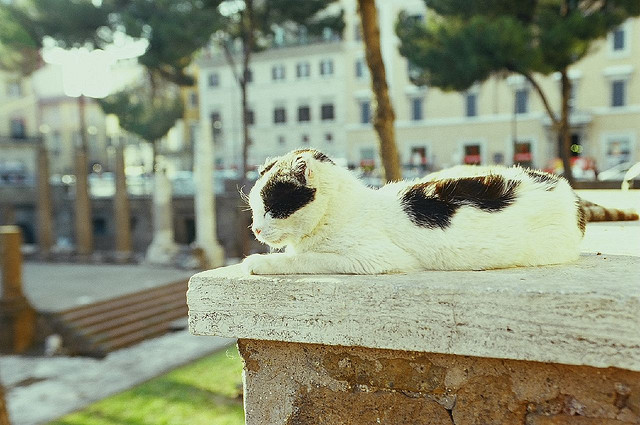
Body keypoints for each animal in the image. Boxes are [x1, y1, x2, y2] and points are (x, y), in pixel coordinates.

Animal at [241, 148, 640, 274]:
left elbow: (306, 260)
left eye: (272, 208)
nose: (256, 231)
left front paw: (258, 262)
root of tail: (567, 189)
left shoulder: (373, 258)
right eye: (255, 210)